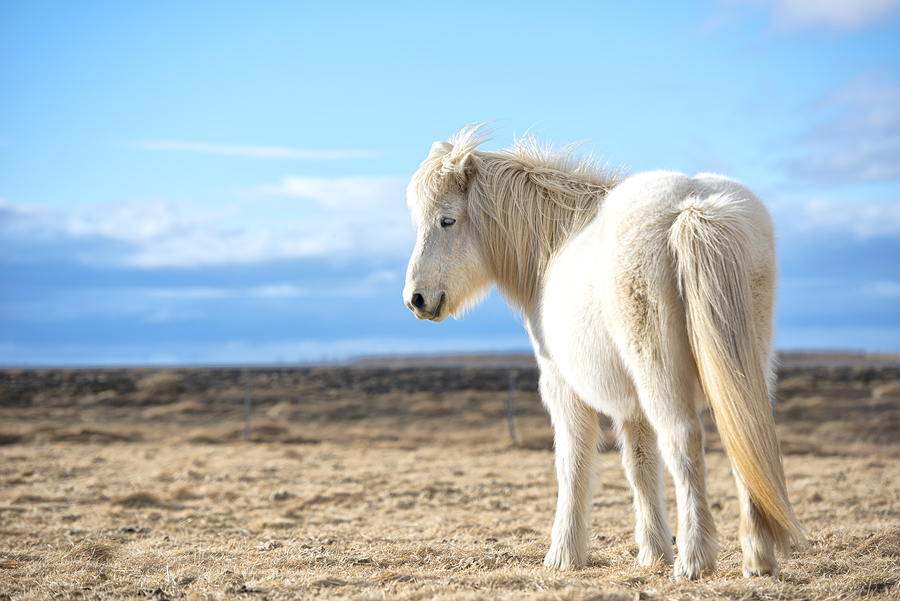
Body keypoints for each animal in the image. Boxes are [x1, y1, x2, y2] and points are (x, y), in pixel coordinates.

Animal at [404, 124, 804, 580]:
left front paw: (564, 555)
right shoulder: (631, 405)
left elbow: (573, 464)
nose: (416, 299)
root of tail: (692, 209)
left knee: (684, 441)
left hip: (660, 372)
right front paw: (653, 552)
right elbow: (641, 466)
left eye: (446, 219)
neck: (554, 245)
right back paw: (757, 560)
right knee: (746, 437)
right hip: (743, 367)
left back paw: (694, 559)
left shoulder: (563, 387)